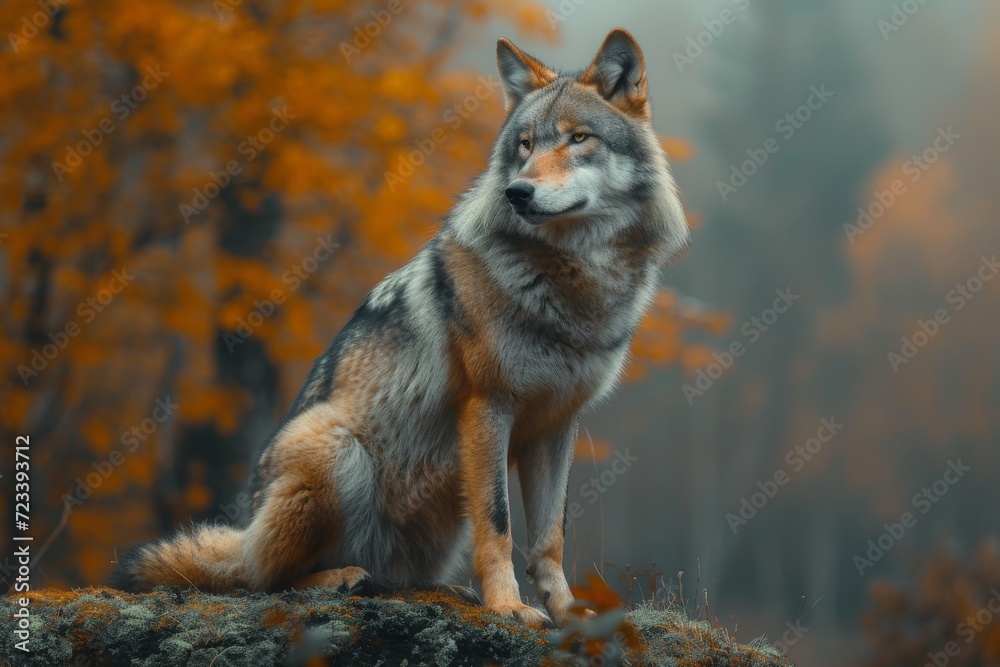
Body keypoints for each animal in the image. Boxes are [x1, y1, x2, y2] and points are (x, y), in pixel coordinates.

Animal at [111, 28, 689, 628]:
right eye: (526, 146)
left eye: (579, 138)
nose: (518, 192)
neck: (572, 282)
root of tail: (247, 529)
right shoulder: (488, 407)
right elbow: (499, 524)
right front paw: (508, 606)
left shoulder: (557, 424)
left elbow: (550, 535)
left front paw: (568, 613)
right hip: (336, 449)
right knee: (263, 581)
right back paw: (342, 578)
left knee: (387, 578)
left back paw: (432, 588)